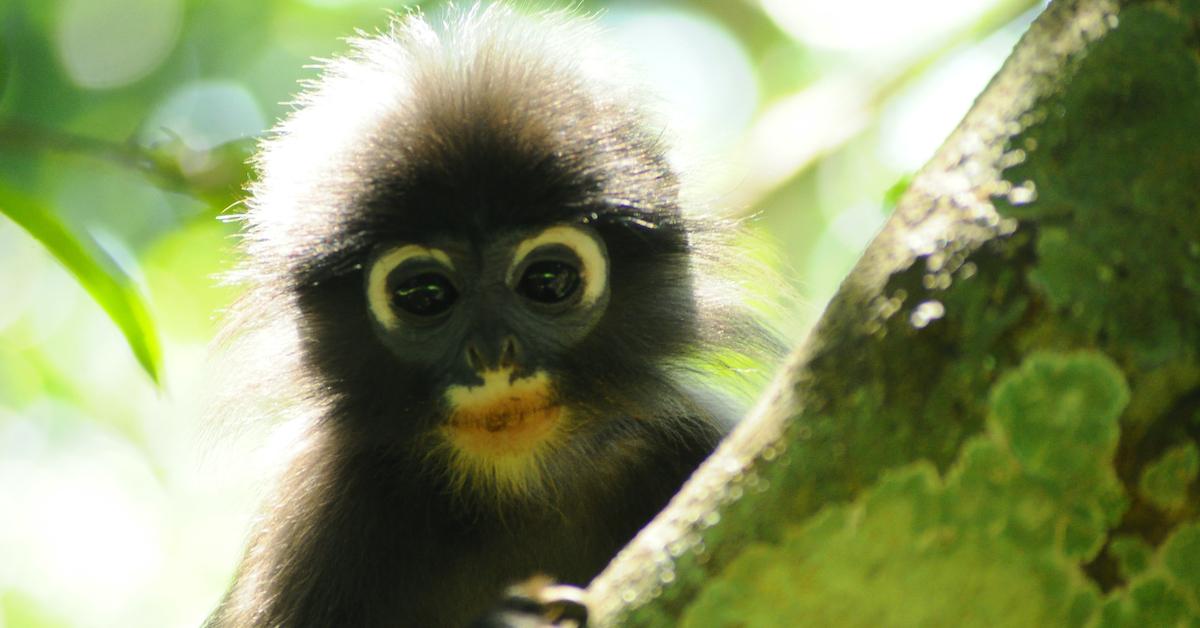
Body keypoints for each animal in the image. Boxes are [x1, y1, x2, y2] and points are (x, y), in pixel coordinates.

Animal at [206, 4, 782, 628]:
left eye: (547, 282)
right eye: (424, 295)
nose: (492, 354)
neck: (512, 477)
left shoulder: (693, 440)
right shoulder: (317, 506)